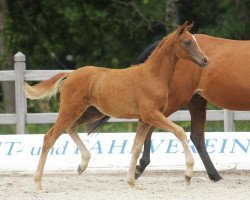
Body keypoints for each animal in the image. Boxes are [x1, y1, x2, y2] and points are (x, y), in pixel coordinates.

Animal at [23, 22, 208, 189]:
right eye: (187, 42)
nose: (205, 60)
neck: (152, 76)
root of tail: (70, 74)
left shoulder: (144, 119)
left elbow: (136, 147)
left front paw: (132, 181)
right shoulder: (151, 114)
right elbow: (179, 131)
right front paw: (188, 174)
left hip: (91, 112)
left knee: (70, 128)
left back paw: (82, 165)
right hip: (70, 109)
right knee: (50, 137)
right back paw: (38, 182)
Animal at [87, 33, 250, 181]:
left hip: (196, 101)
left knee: (196, 136)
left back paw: (214, 175)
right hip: (170, 102)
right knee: (149, 128)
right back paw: (140, 167)